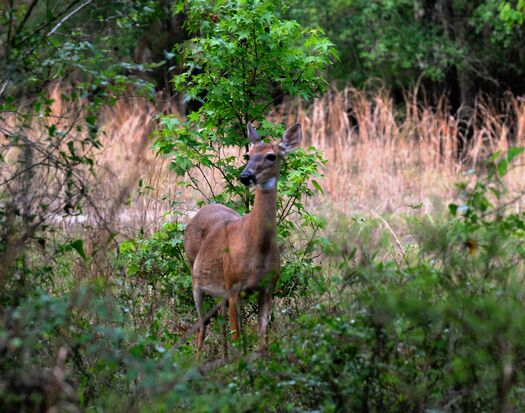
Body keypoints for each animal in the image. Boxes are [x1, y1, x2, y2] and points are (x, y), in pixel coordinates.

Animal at [184, 120, 300, 352]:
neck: (257, 251)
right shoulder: (233, 287)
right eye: (248, 155)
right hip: (195, 278)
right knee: (202, 326)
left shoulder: (267, 290)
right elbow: (238, 339)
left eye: (271, 156)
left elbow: (262, 343)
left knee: (219, 324)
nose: (246, 176)